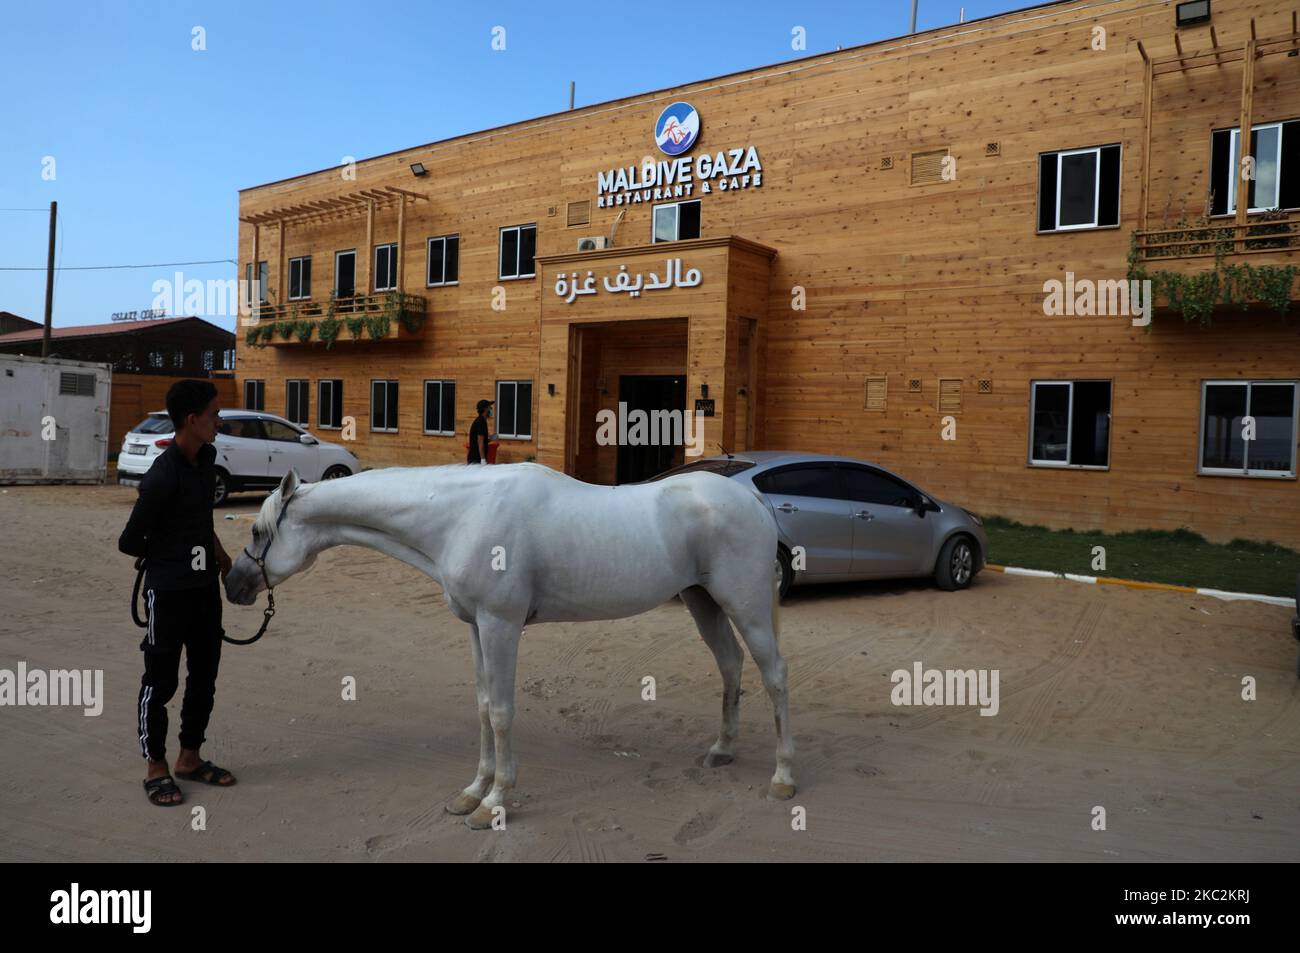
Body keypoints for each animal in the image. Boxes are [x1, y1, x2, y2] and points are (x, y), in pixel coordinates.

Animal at [223, 460, 790, 826]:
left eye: (257, 531)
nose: (233, 585)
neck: (463, 513)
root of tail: (750, 496)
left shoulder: (501, 625)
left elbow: (500, 712)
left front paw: (494, 802)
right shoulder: (476, 627)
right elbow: (481, 707)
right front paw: (471, 792)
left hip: (745, 606)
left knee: (774, 676)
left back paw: (783, 778)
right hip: (704, 602)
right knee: (731, 666)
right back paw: (722, 750)